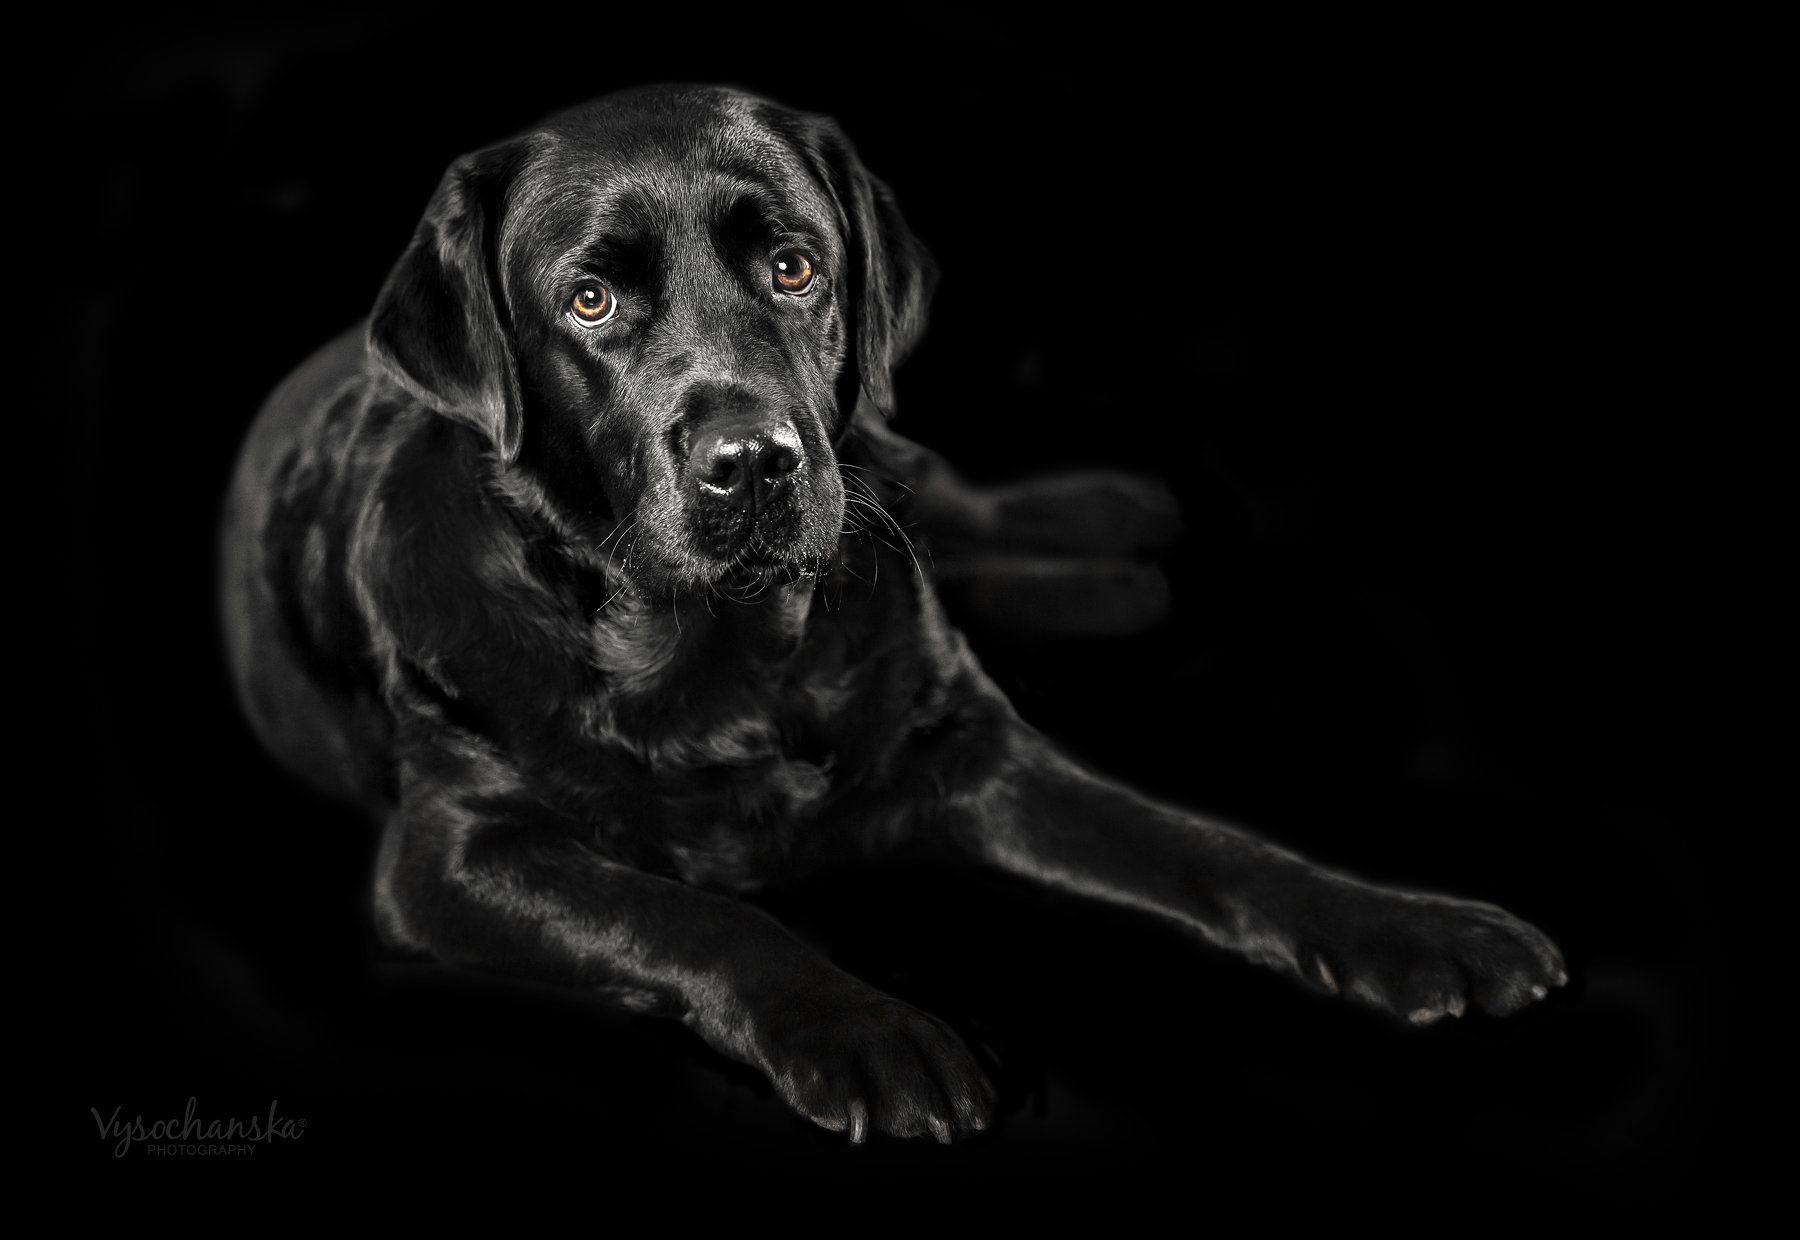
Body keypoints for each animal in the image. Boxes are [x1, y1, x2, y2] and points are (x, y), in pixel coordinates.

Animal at [221, 84, 1562, 1144]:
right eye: (591, 301)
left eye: (795, 267)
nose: (752, 461)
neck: (718, 654)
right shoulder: (454, 856)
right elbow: (693, 911)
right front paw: (868, 1029)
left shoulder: (970, 744)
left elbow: (1201, 842)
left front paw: (1409, 926)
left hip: (880, 455)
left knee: (954, 504)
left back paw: (1120, 530)